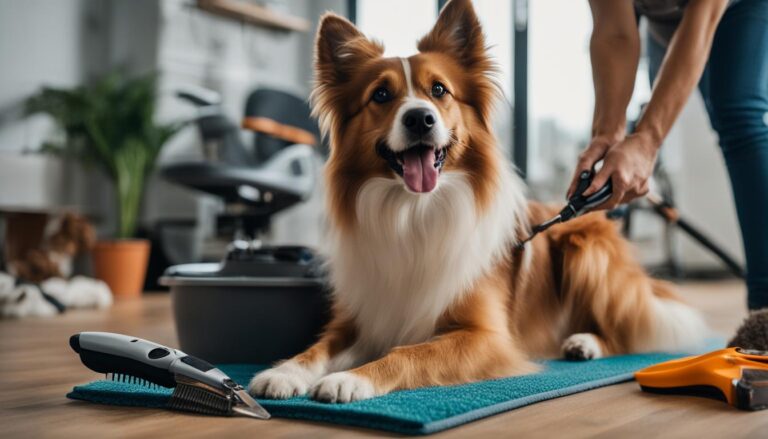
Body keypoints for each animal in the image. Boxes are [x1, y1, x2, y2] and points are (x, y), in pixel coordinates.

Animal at [248, 0, 708, 404]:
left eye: (439, 90)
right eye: (380, 95)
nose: (420, 118)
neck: (413, 211)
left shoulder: (486, 337)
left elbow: (408, 352)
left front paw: (350, 380)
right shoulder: (365, 316)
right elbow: (319, 347)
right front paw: (285, 371)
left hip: (586, 248)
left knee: (622, 331)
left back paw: (584, 343)